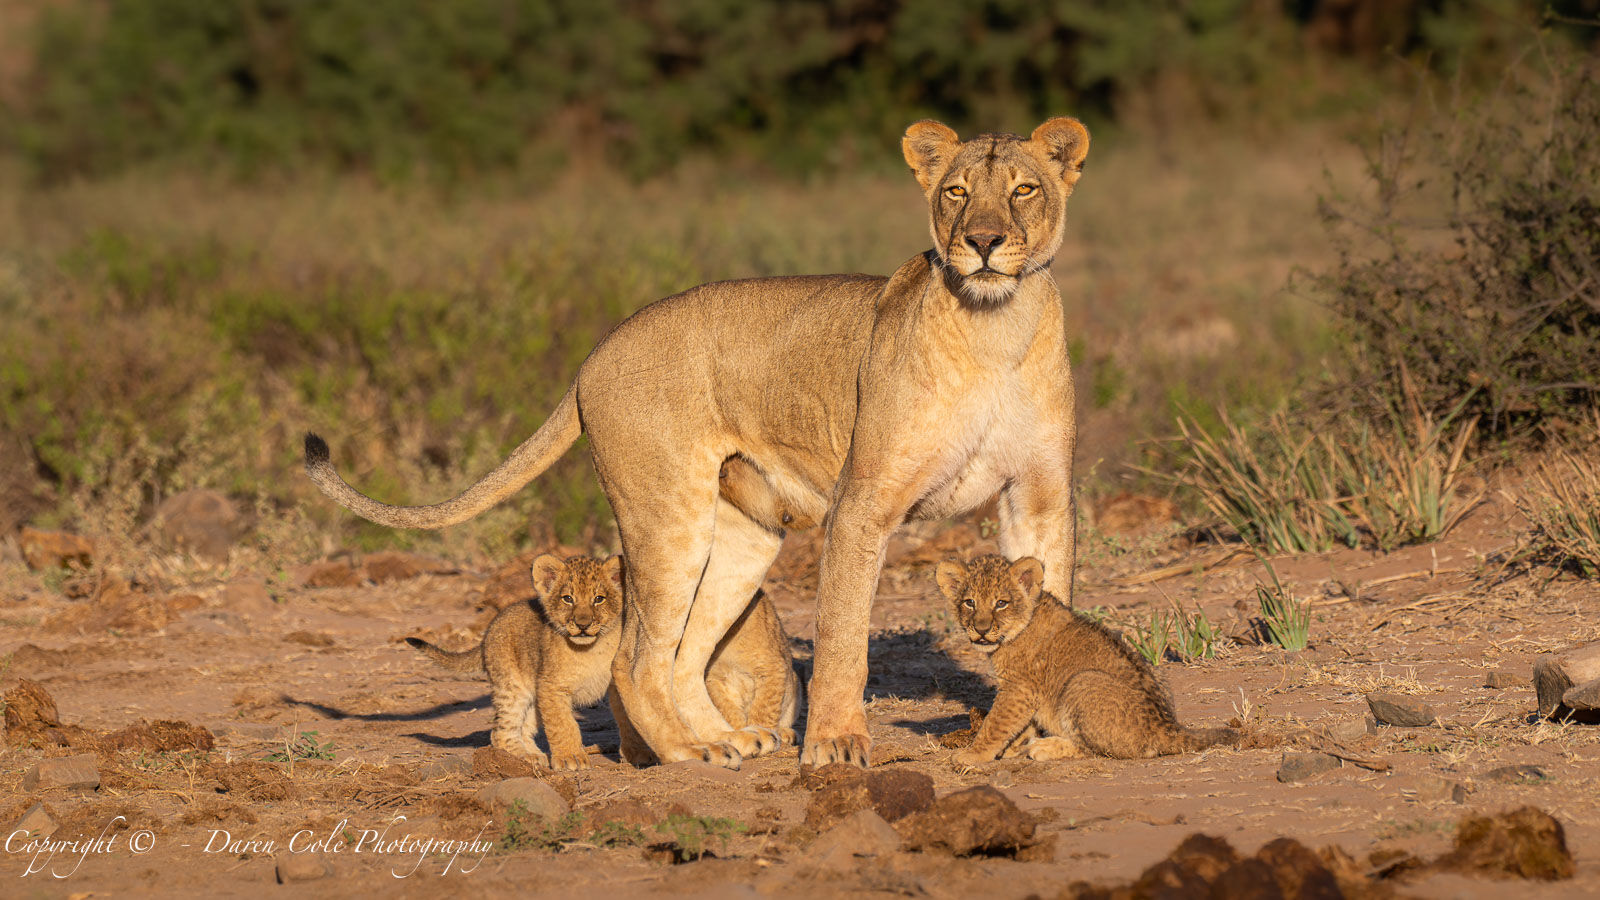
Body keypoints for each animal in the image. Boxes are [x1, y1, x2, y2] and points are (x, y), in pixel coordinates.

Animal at [305, 116, 1090, 769]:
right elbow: (843, 638)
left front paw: (1046, 738)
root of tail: (594, 355)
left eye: (1023, 189)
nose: (983, 242)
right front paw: (835, 747)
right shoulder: (863, 503)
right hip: (668, 516)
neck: (994, 327)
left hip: (745, 533)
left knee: (683, 655)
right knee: (636, 659)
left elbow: (1052, 605)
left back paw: (729, 739)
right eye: (957, 192)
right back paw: (687, 753)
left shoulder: (1040, 496)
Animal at [935, 555, 1238, 766]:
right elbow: (1020, 725)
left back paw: (1044, 748)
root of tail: (1168, 727)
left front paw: (973, 755)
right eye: (969, 602)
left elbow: (995, 724)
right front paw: (1012, 748)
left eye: (1001, 603)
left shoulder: (1018, 688)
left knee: (1092, 749)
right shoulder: (1025, 691)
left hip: (1082, 681)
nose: (981, 629)